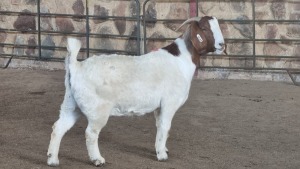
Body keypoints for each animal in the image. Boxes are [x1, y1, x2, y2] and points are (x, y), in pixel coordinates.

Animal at [47, 15, 225, 166]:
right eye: (204, 28)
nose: (222, 45)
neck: (181, 59)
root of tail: (75, 66)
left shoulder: (159, 107)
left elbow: (160, 127)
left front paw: (161, 148)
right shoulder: (169, 103)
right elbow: (165, 126)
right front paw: (162, 155)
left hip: (71, 103)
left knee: (58, 127)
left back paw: (52, 159)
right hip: (97, 109)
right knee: (91, 133)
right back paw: (97, 159)